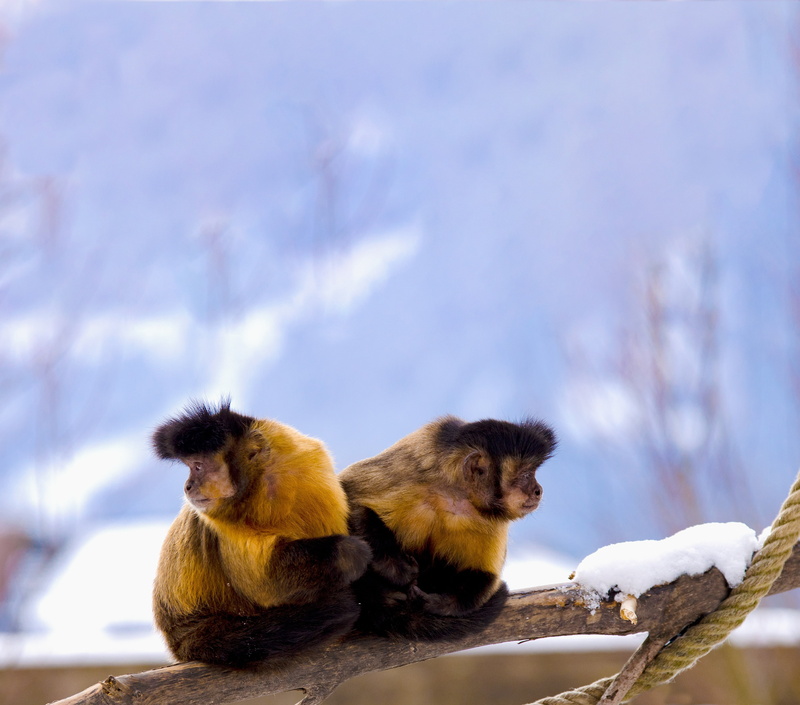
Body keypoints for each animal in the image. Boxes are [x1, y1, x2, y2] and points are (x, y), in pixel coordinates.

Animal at [151, 400, 371, 667]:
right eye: (191, 467)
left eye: (198, 466)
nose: (188, 486)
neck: (262, 482)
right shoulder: (219, 516)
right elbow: (263, 585)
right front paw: (350, 553)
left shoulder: (308, 463)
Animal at [339, 415, 556, 640]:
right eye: (526, 474)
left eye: (532, 473)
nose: (538, 490)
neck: (455, 495)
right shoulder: (415, 469)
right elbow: (351, 498)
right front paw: (396, 568)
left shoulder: (490, 518)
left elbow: (485, 576)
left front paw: (442, 604)